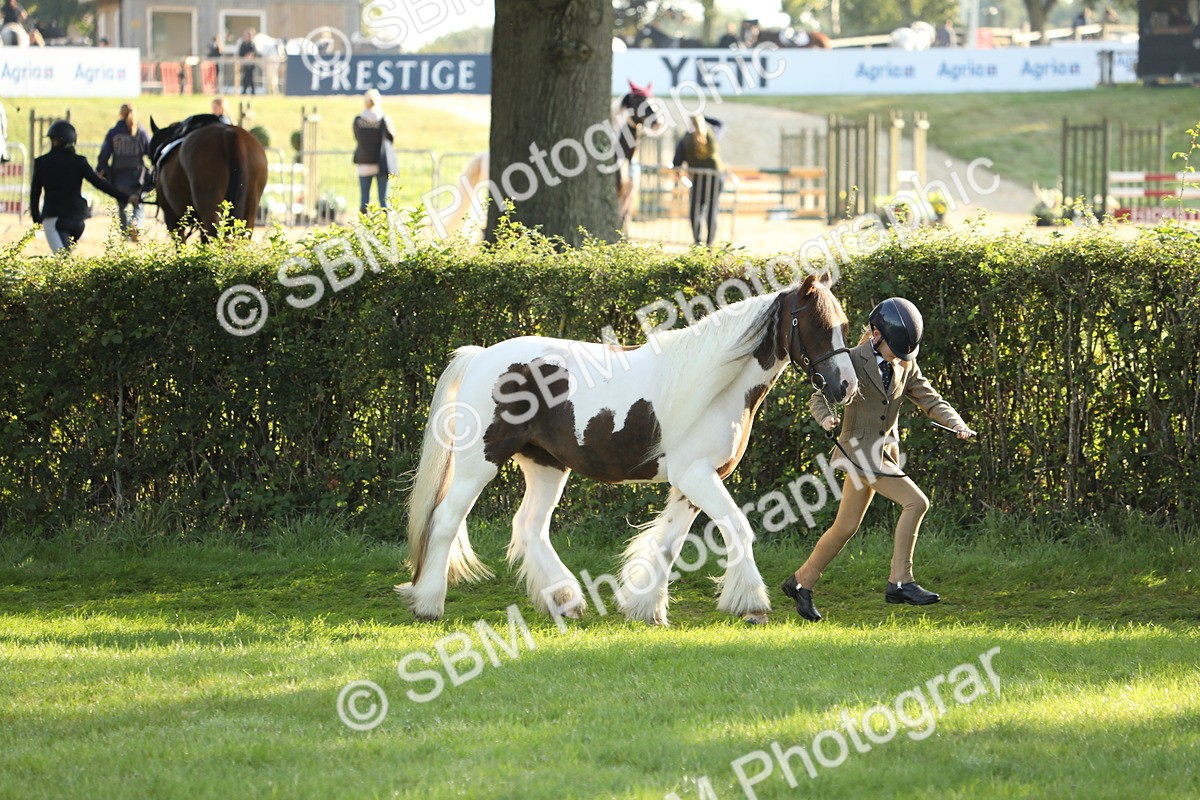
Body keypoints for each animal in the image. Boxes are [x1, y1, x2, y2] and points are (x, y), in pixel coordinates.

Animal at [395, 272, 857, 626]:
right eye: (818, 325)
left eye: (845, 326)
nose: (846, 387)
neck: (716, 387)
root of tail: (480, 356)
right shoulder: (698, 476)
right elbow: (737, 528)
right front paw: (752, 604)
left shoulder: (691, 482)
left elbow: (669, 544)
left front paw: (645, 608)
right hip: (480, 464)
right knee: (446, 520)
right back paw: (429, 604)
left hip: (547, 466)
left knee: (530, 527)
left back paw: (566, 601)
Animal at [435, 81, 665, 237]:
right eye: (638, 99)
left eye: (653, 98)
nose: (658, 122)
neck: (619, 157)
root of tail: (485, 154)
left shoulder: (626, 201)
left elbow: (623, 230)